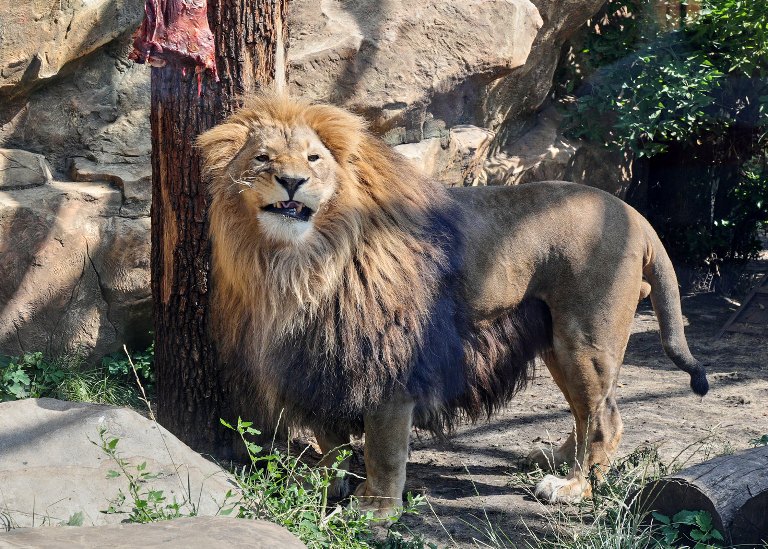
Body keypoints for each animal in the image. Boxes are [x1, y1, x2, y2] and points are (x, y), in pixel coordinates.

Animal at [196, 94, 708, 520]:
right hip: (557, 342)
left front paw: (376, 508)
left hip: (586, 340)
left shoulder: (388, 363)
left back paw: (573, 487)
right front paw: (327, 482)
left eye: (313, 158)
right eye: (262, 158)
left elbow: (383, 448)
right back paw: (556, 457)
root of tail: (633, 215)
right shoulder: (316, 359)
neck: (302, 266)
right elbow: (331, 441)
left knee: (604, 420)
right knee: (591, 414)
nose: (292, 181)